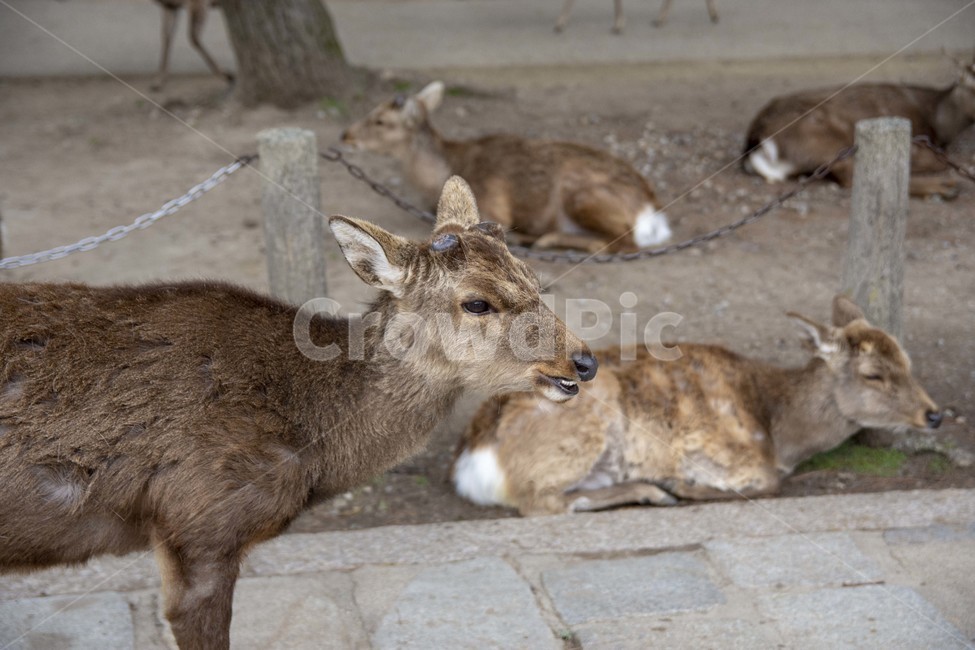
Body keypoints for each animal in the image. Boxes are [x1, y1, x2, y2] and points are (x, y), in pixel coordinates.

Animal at [341, 81, 672, 253]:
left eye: (380, 120)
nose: (345, 135)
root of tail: (651, 212)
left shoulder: (494, 205)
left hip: (581, 196)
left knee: (624, 242)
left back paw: (545, 238)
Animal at [452, 295, 943, 516]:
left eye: (908, 360)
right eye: (873, 374)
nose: (934, 414)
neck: (780, 432)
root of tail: (471, 462)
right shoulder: (711, 448)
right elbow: (768, 483)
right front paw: (683, 486)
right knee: (541, 501)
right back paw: (654, 490)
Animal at [743, 55, 975, 199]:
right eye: (973, 87)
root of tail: (755, 142)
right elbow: (937, 160)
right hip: (821, 138)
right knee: (849, 174)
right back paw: (945, 187)